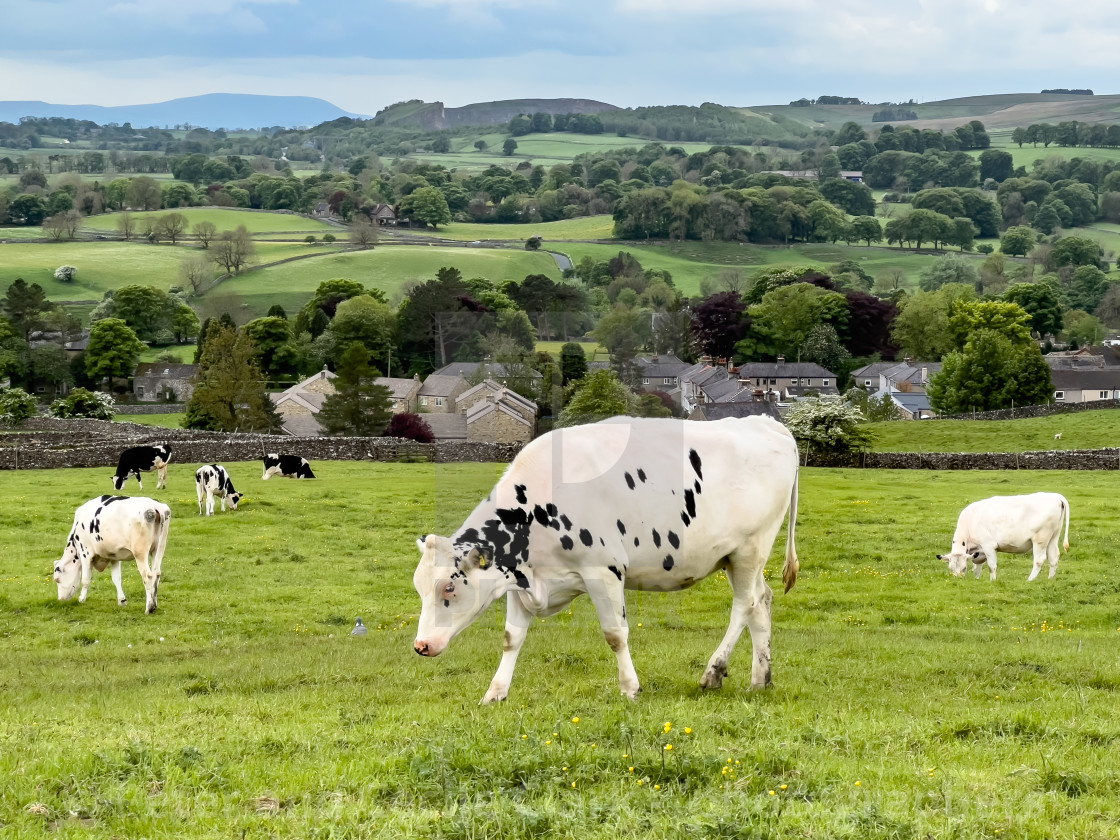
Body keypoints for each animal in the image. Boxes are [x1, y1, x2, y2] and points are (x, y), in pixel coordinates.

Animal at [416, 416, 801, 703]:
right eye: (419, 588)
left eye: (449, 587)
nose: (420, 646)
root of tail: (766, 423)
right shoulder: (520, 577)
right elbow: (512, 638)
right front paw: (495, 693)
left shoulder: (604, 570)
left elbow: (615, 634)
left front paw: (630, 688)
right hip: (736, 558)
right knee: (762, 601)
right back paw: (760, 679)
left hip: (751, 548)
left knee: (745, 605)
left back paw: (714, 672)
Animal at [936, 492, 1066, 586]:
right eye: (950, 568)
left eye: (964, 568)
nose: (957, 580)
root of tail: (1055, 496)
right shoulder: (978, 552)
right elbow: (977, 567)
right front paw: (977, 579)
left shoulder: (988, 546)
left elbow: (991, 566)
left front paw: (993, 581)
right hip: (1053, 538)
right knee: (1054, 557)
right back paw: (1050, 579)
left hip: (1040, 539)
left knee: (1039, 560)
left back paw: (1030, 580)